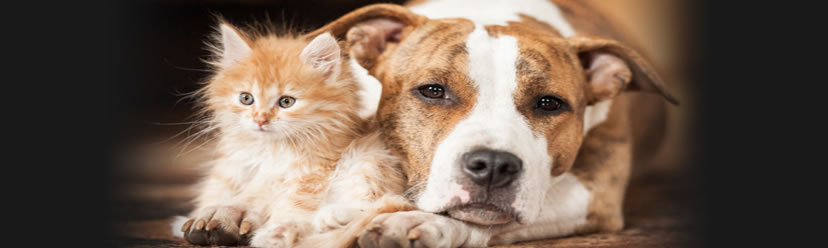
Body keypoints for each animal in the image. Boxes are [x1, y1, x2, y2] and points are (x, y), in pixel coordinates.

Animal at [169, 22, 404, 247]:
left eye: (286, 102)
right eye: (246, 98)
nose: (260, 119)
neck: (269, 150)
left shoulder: (315, 171)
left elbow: (293, 203)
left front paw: (275, 233)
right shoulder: (229, 169)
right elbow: (217, 194)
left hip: (371, 159)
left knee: (382, 203)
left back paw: (330, 217)